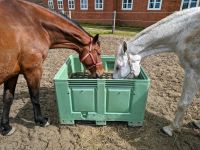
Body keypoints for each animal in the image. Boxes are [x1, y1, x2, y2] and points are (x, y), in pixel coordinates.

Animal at [0, 0, 104, 135]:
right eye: (99, 53)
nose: (101, 73)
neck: (34, 24)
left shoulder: (12, 73)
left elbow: (8, 99)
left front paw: (6, 127)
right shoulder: (33, 69)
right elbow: (35, 96)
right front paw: (41, 120)